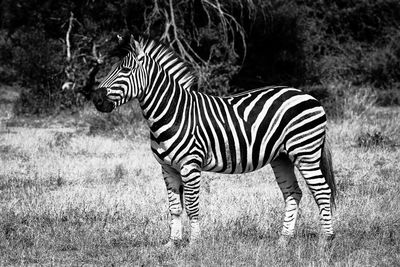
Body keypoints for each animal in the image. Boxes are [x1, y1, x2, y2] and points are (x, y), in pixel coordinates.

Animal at [91, 34, 338, 248]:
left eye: (125, 69)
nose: (96, 99)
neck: (173, 112)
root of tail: (308, 96)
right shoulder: (167, 168)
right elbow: (174, 208)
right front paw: (172, 243)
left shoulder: (190, 165)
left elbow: (192, 206)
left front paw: (193, 244)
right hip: (282, 157)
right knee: (293, 193)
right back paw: (283, 240)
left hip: (305, 152)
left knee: (322, 191)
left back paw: (325, 240)